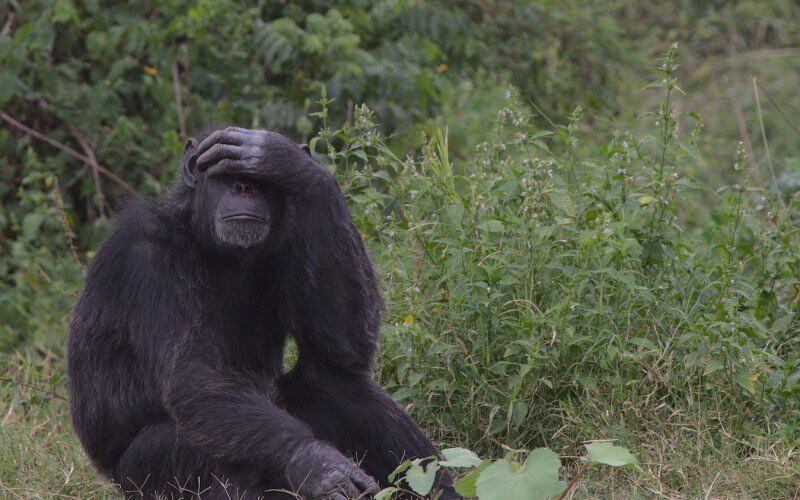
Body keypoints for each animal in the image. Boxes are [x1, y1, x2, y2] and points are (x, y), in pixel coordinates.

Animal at [65, 127, 460, 498]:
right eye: (224, 172)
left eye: (263, 180)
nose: (244, 186)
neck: (208, 241)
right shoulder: (148, 255)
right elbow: (193, 373)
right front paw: (315, 461)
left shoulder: (293, 237)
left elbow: (342, 347)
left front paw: (287, 161)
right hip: (141, 481)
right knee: (191, 442)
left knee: (337, 383)